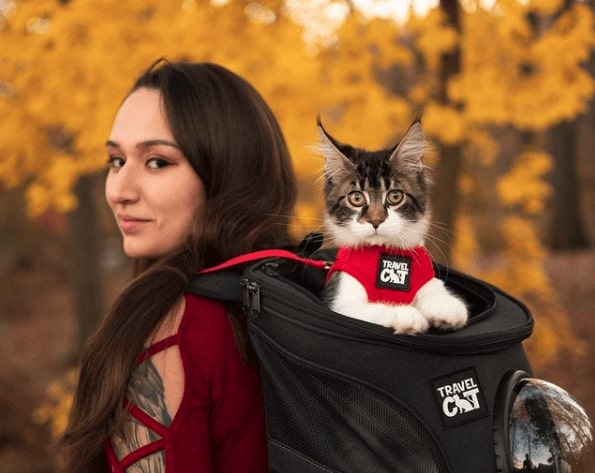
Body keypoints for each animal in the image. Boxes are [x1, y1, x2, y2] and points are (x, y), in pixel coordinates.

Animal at [318, 120, 468, 334]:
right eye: (356, 198)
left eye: (395, 196)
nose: (375, 220)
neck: (384, 253)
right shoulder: (340, 302)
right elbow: (369, 309)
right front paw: (406, 315)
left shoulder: (425, 276)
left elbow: (434, 290)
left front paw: (447, 307)